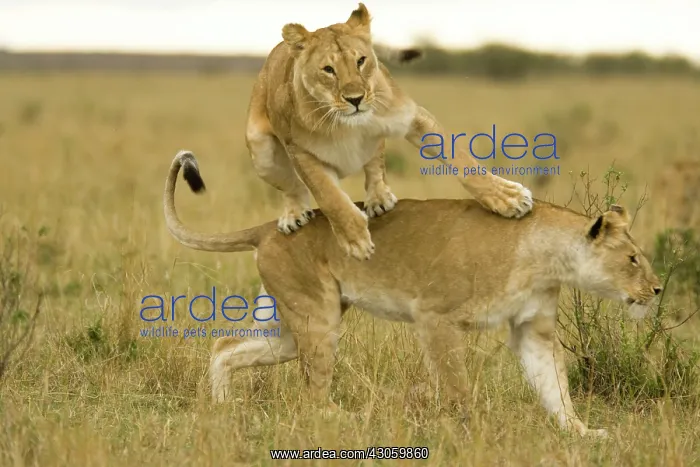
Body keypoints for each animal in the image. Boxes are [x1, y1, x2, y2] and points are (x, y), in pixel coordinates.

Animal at [164, 150, 662, 437]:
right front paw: (469, 430)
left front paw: (581, 432)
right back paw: (342, 420)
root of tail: (268, 227)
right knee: (312, 396)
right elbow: (457, 384)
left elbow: (554, 385)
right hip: (318, 316)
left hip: (292, 320)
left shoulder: (532, 328)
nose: (658, 289)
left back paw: (222, 408)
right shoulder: (436, 316)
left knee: (225, 345)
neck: (546, 256)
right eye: (633, 258)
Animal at [244, 2, 533, 261]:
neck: (345, 124)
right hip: (262, 152)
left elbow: (463, 161)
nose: (355, 99)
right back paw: (294, 215)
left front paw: (508, 198)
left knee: (376, 159)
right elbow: (330, 198)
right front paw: (355, 240)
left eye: (361, 61)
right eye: (328, 70)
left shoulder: (412, 116)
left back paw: (379, 197)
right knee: (293, 187)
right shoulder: (299, 150)